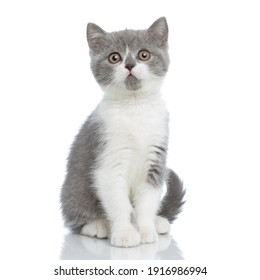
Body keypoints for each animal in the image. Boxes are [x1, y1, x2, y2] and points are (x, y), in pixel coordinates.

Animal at [61, 17, 186, 247]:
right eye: (114, 57)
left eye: (144, 54)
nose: (129, 65)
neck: (134, 106)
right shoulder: (109, 156)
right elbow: (118, 202)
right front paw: (125, 233)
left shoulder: (155, 160)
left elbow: (146, 200)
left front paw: (145, 230)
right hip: (73, 188)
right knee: (76, 217)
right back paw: (98, 225)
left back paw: (158, 221)